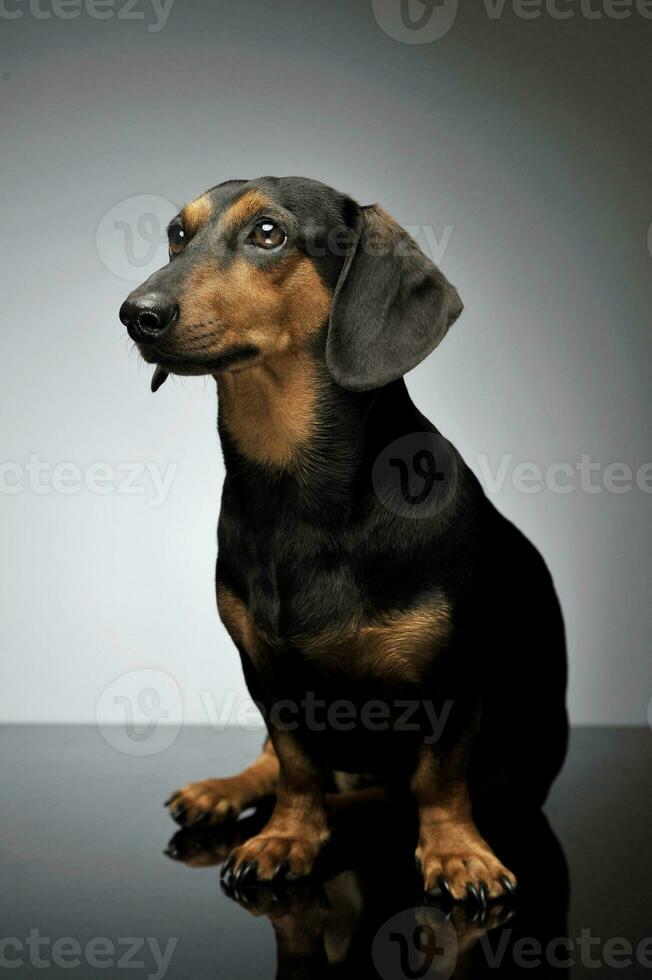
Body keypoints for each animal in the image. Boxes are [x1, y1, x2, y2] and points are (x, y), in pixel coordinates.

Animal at [119, 174, 568, 904]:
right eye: (177, 234)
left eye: (267, 233)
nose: (137, 314)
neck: (296, 492)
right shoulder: (265, 674)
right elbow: (295, 762)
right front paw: (286, 835)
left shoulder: (452, 679)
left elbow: (438, 778)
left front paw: (456, 851)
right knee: (278, 765)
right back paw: (226, 791)